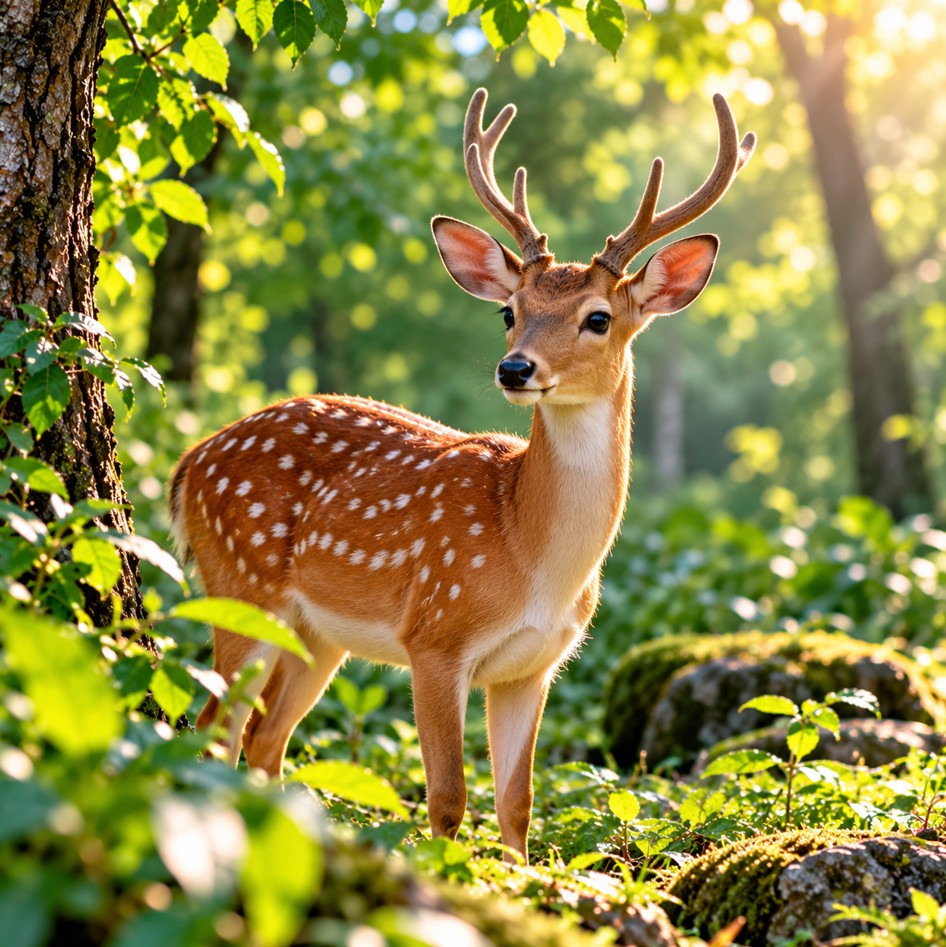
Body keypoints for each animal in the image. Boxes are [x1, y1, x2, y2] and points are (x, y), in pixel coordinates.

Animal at [169, 88, 755, 861]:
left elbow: (517, 805)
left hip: (316, 634)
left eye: (598, 317)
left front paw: (523, 878)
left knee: (264, 739)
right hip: (241, 584)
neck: (532, 556)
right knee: (212, 731)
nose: (515, 368)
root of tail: (190, 462)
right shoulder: (435, 636)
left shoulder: (534, 666)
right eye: (510, 311)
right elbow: (448, 800)